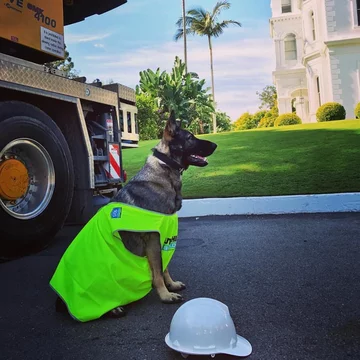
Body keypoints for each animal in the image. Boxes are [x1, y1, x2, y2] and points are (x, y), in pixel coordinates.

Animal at [55, 110, 217, 318]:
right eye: (190, 137)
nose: (215, 145)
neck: (164, 171)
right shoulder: (153, 239)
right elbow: (158, 271)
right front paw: (165, 295)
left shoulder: (161, 239)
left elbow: (164, 267)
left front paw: (171, 285)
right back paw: (113, 308)